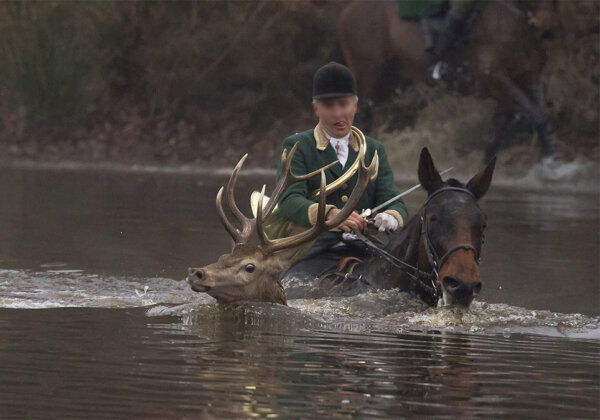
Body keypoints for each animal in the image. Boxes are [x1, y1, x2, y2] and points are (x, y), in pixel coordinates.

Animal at [340, 0, 556, 160]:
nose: (545, 23)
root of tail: (349, 10)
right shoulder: (497, 78)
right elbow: (538, 116)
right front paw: (550, 165)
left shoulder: (520, 85)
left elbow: (497, 134)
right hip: (369, 74)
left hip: (389, 80)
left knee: (382, 116)